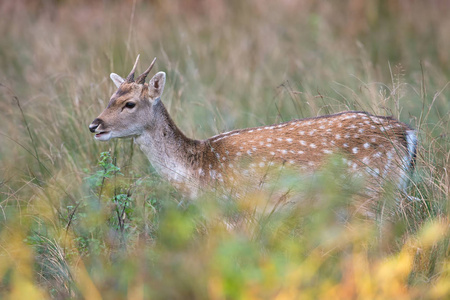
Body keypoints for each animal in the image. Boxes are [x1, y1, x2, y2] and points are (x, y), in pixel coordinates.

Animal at [89, 56, 416, 205]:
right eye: (109, 98)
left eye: (129, 104)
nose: (94, 125)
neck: (198, 169)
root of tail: (407, 133)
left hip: (373, 190)